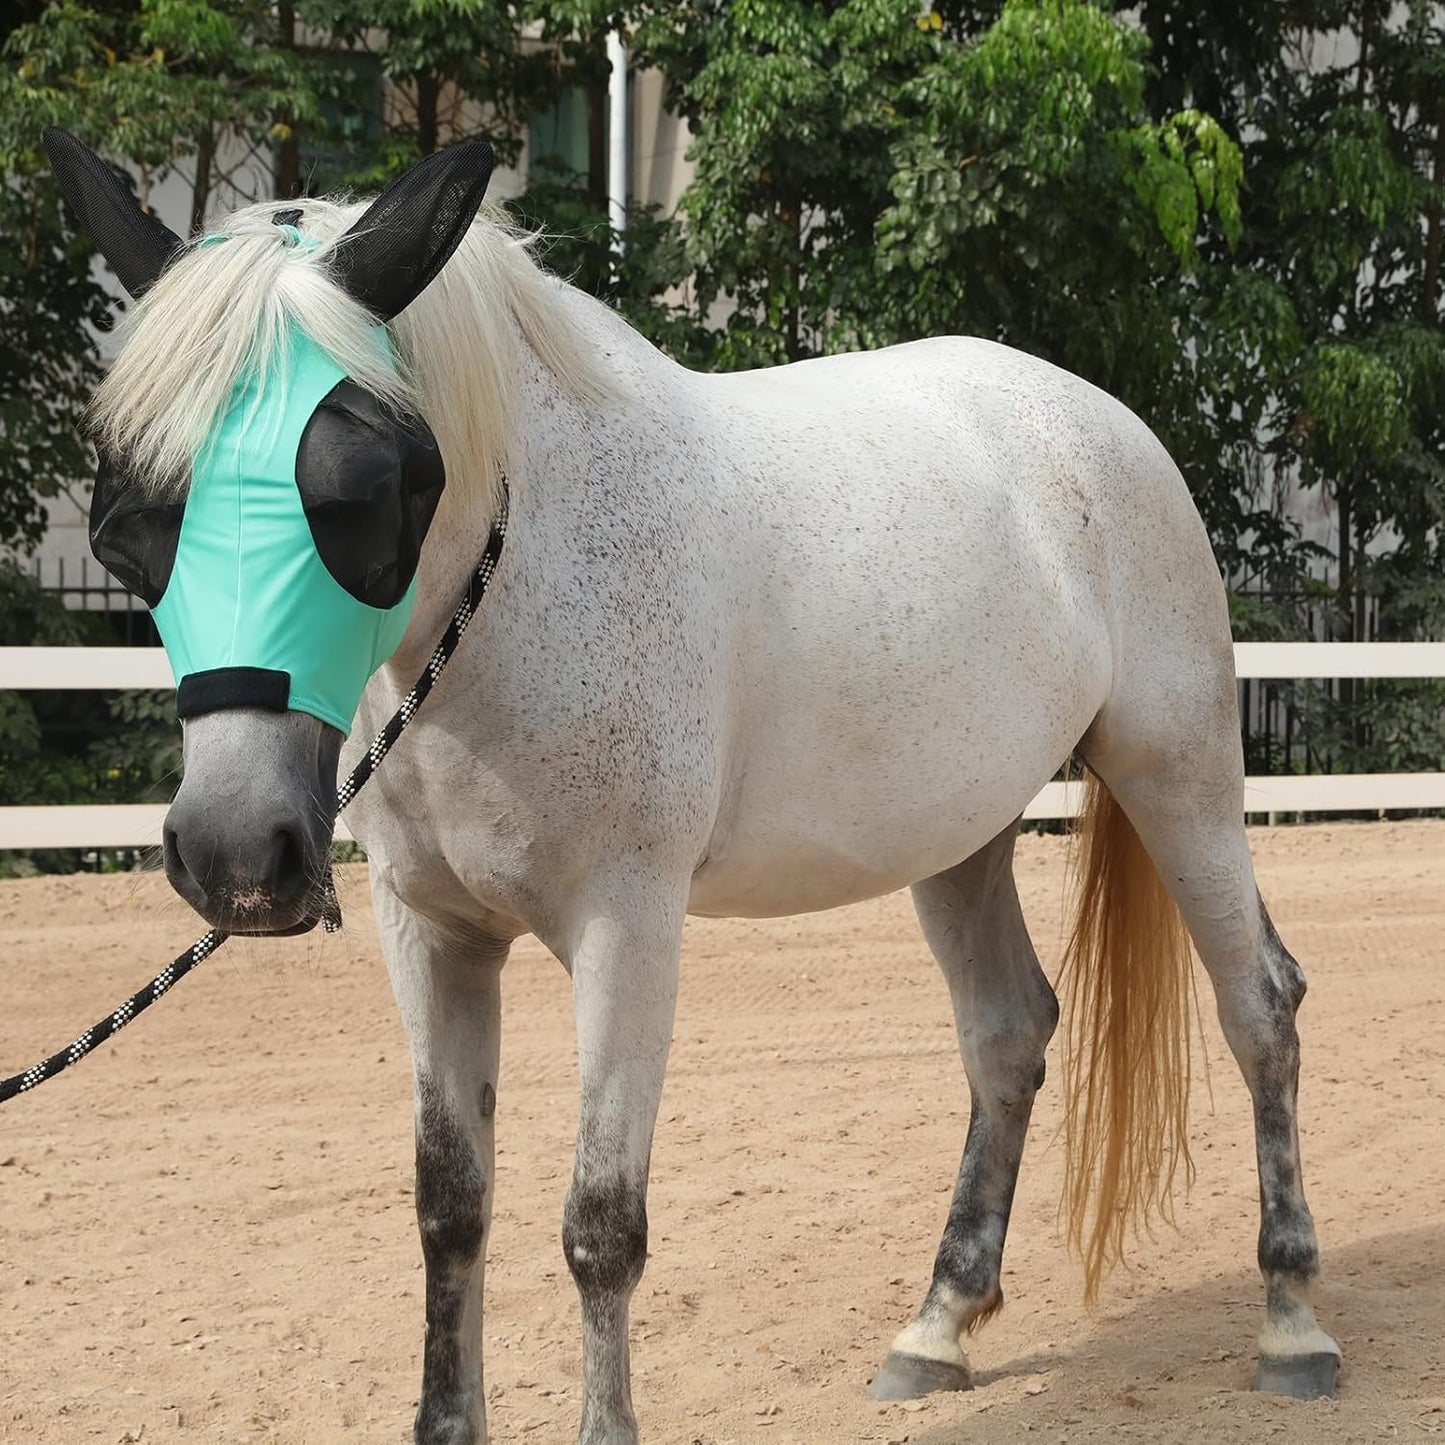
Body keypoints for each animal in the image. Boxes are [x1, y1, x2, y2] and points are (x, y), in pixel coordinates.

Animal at [48, 131, 1339, 1444]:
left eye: (363, 489)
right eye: (127, 524)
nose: (235, 857)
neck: (511, 595)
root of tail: (1098, 422)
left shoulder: (626, 929)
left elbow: (599, 1226)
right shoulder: (430, 930)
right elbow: (450, 1205)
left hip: (1177, 772)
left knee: (1258, 1004)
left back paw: (1290, 1322)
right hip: (956, 833)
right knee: (1006, 1031)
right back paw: (934, 1327)